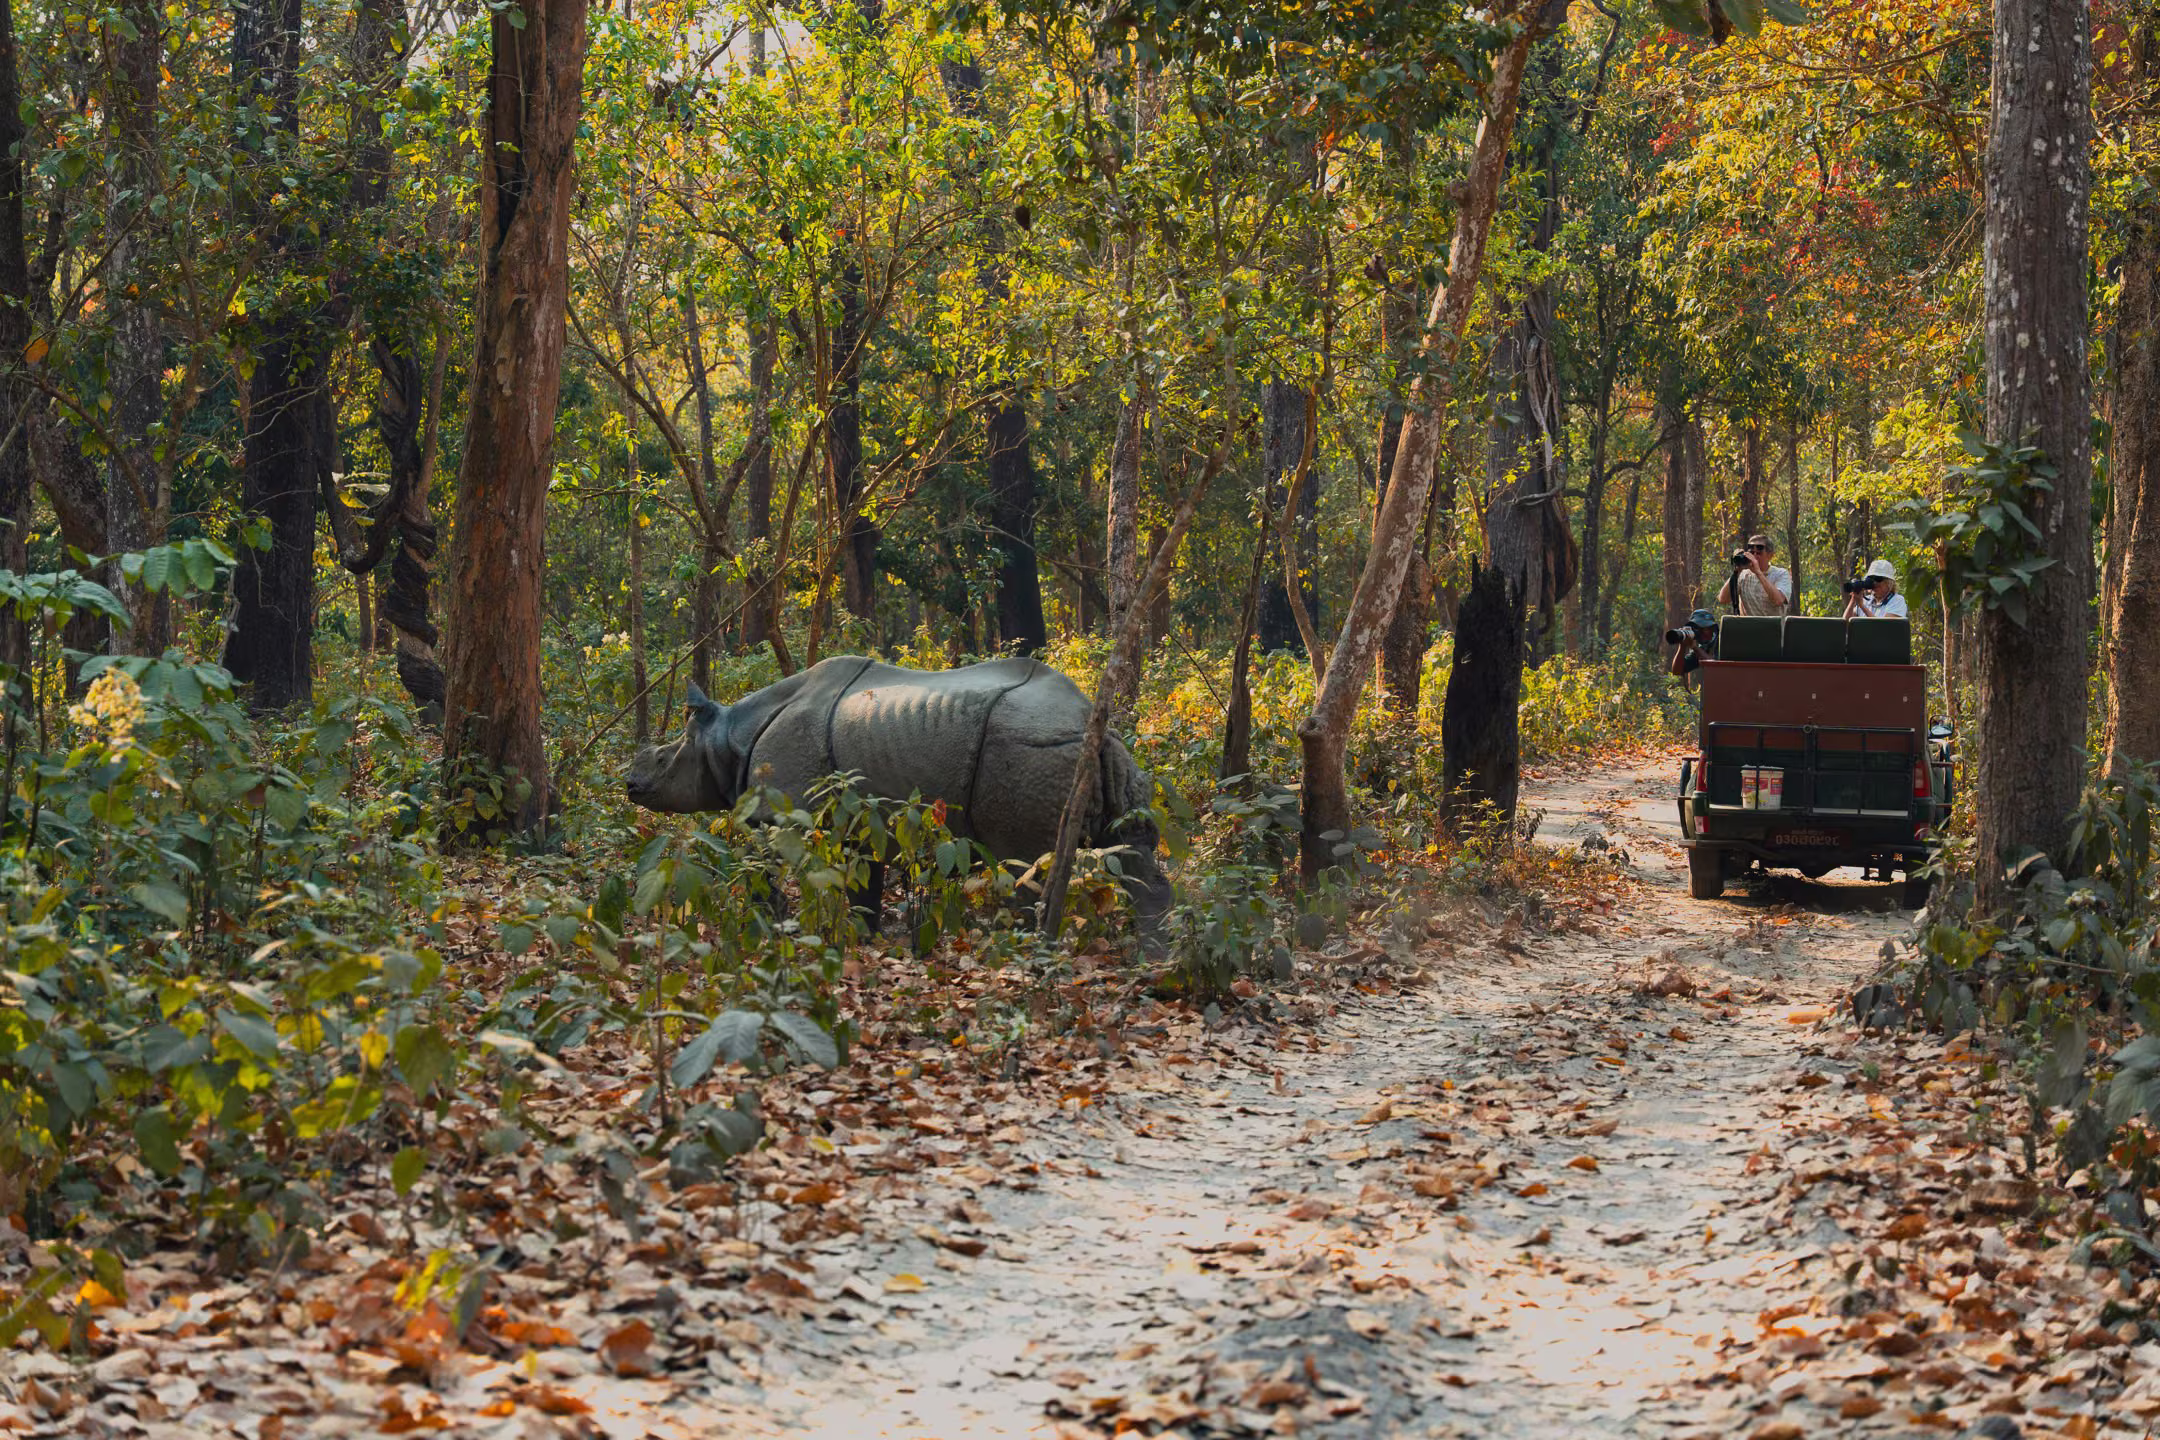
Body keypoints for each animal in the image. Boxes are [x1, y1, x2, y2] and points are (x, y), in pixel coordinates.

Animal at [625, 655, 1171, 927]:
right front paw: (864, 937)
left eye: (662, 761)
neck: (727, 741)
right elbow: (863, 884)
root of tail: (1089, 723)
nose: (630, 784)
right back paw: (1156, 967)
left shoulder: (780, 815)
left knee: (1025, 864)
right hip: (1101, 754)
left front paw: (771, 928)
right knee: (1133, 854)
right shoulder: (861, 820)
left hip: (1027, 748)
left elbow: (765, 872)